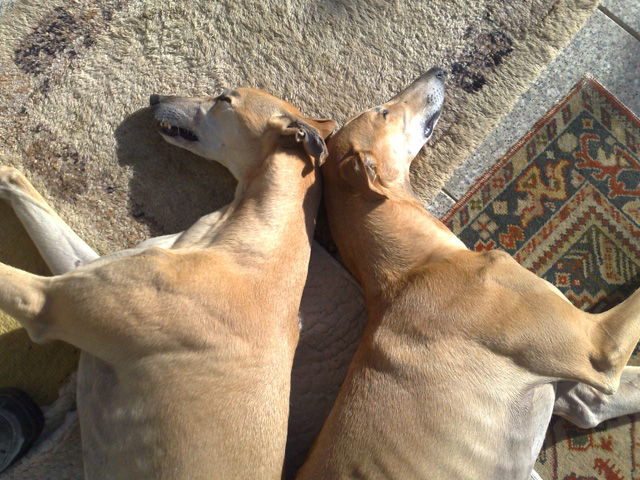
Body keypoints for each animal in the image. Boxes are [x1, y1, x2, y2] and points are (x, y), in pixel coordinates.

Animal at [0, 88, 336, 479]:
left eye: (224, 98)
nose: (156, 97)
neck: (251, 238)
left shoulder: (46, 302)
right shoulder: (82, 267)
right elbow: (21, 184)